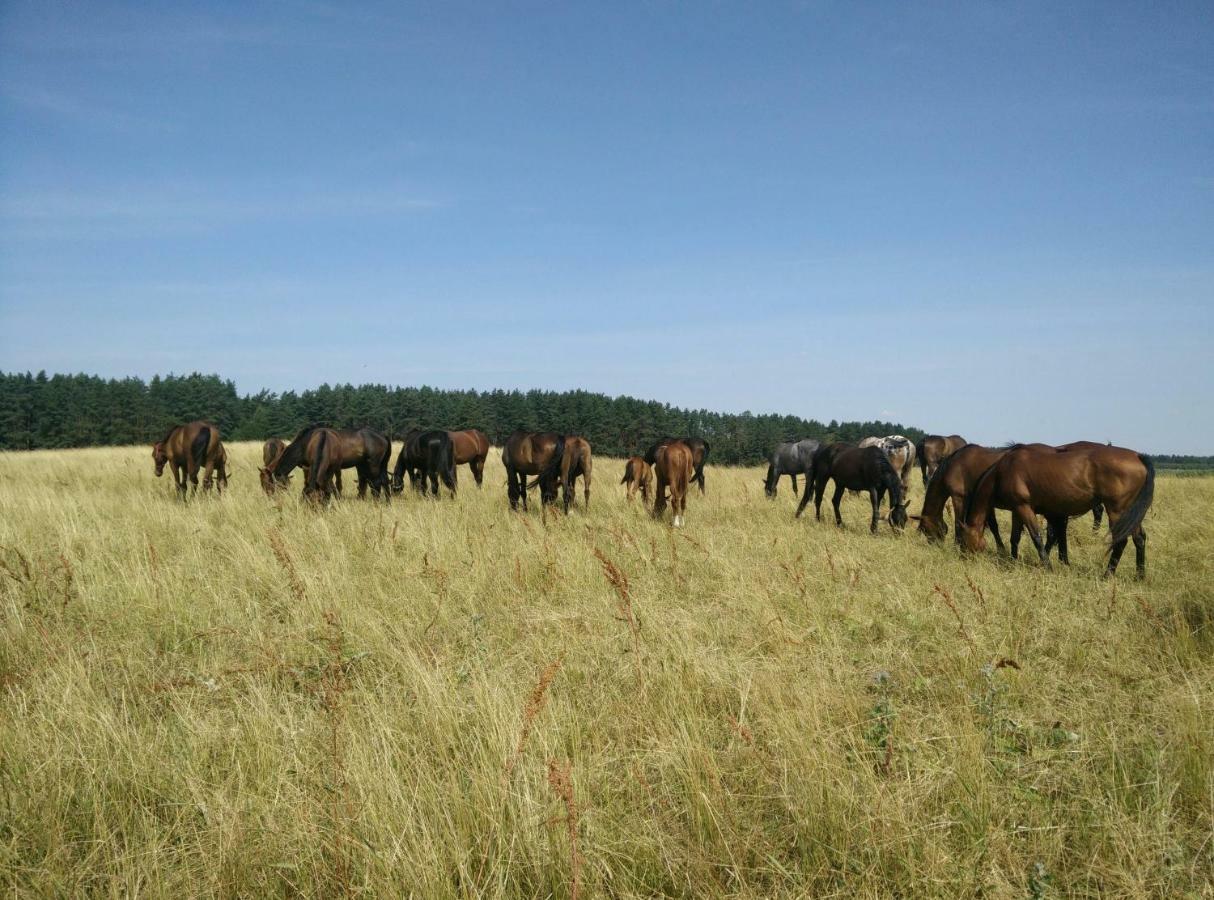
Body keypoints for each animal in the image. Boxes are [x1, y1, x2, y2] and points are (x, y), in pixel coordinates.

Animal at [956, 442, 1155, 575]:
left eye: (964, 541)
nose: (964, 559)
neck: (1002, 472)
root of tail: (1138, 456)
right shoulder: (1017, 510)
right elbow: (1014, 538)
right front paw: (1013, 562)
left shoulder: (1024, 508)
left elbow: (1036, 537)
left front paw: (1047, 566)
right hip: (1130, 513)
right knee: (1139, 538)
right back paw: (1139, 575)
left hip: (1117, 511)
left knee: (1121, 541)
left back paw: (1108, 575)